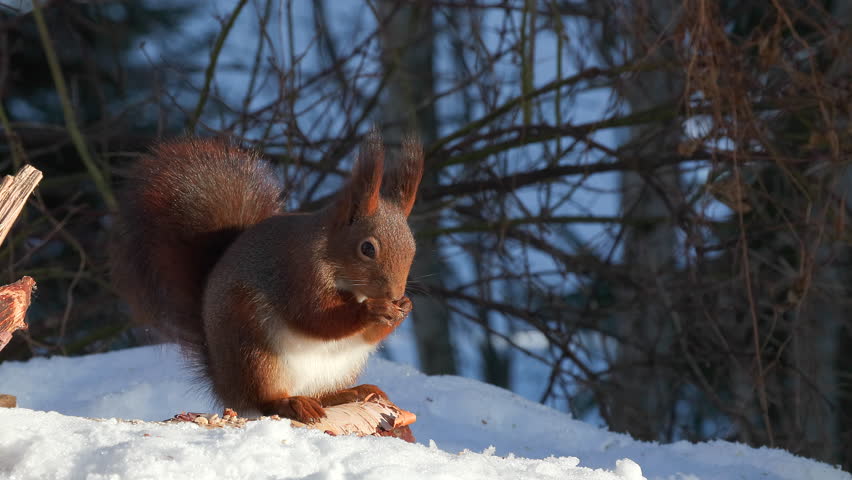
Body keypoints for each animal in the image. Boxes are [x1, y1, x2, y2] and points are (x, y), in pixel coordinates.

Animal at [110, 130, 423, 423]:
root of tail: (223, 383)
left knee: (321, 394)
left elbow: (365, 333)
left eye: (413, 246)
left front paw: (404, 307)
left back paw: (350, 392)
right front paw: (373, 309)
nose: (394, 294)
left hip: (341, 365)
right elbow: (316, 317)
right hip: (255, 351)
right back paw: (290, 403)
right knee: (263, 400)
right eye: (367, 248)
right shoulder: (297, 273)